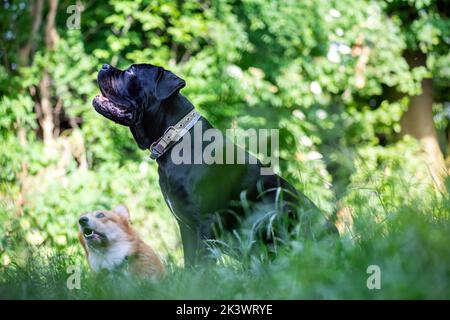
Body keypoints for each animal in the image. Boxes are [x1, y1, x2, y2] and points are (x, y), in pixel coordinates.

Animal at [94, 63, 334, 266]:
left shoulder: (206, 222)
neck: (175, 138)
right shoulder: (186, 225)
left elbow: (203, 264)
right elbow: (191, 263)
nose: (104, 66)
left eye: (132, 72)